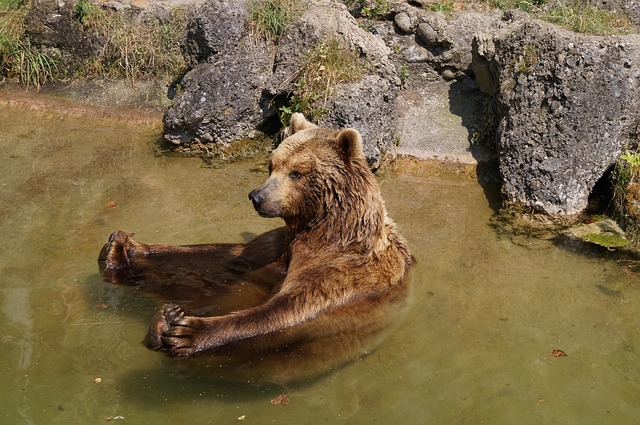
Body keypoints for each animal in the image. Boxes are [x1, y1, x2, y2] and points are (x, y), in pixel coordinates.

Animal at [98, 113, 413, 383]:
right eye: (272, 165)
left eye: (297, 172)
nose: (257, 197)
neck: (326, 231)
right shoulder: (274, 250)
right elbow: (220, 257)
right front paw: (126, 246)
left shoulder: (341, 271)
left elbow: (287, 310)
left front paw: (190, 332)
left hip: (289, 357)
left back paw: (167, 326)